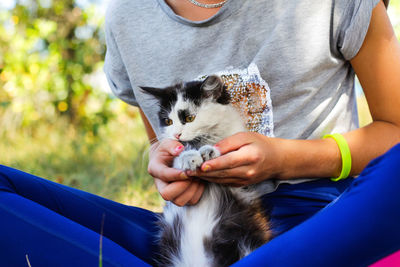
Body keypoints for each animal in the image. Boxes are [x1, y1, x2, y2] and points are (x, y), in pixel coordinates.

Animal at [141, 75, 276, 267]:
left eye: (190, 118)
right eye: (168, 121)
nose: (176, 135)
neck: (200, 140)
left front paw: (210, 152)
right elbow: (177, 158)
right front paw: (188, 158)